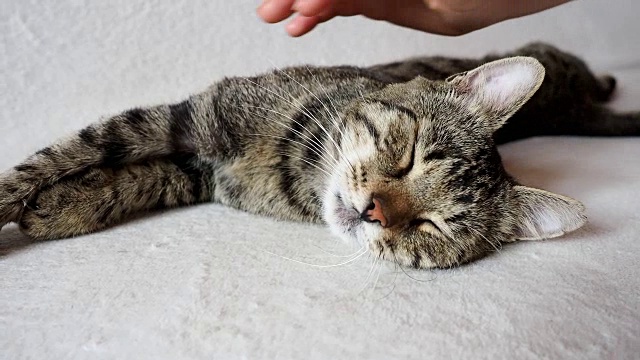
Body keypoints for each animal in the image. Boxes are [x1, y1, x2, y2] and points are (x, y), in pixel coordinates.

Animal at [1, 43, 640, 268]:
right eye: (409, 156)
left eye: (432, 226)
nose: (373, 210)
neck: (293, 173)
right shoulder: (190, 119)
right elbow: (60, 155)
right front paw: (37, 199)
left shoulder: (195, 169)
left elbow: (134, 177)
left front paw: (59, 206)